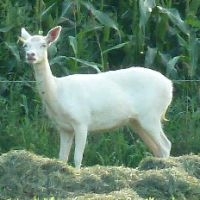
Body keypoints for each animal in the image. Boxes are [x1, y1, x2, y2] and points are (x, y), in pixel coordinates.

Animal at [20, 25, 173, 169]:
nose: (30, 55)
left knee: (166, 145)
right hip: (137, 121)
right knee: (157, 149)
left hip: (151, 114)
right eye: (25, 45)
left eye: (44, 44)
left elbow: (77, 158)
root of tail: (170, 86)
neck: (58, 92)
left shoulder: (81, 120)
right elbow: (62, 158)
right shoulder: (64, 127)